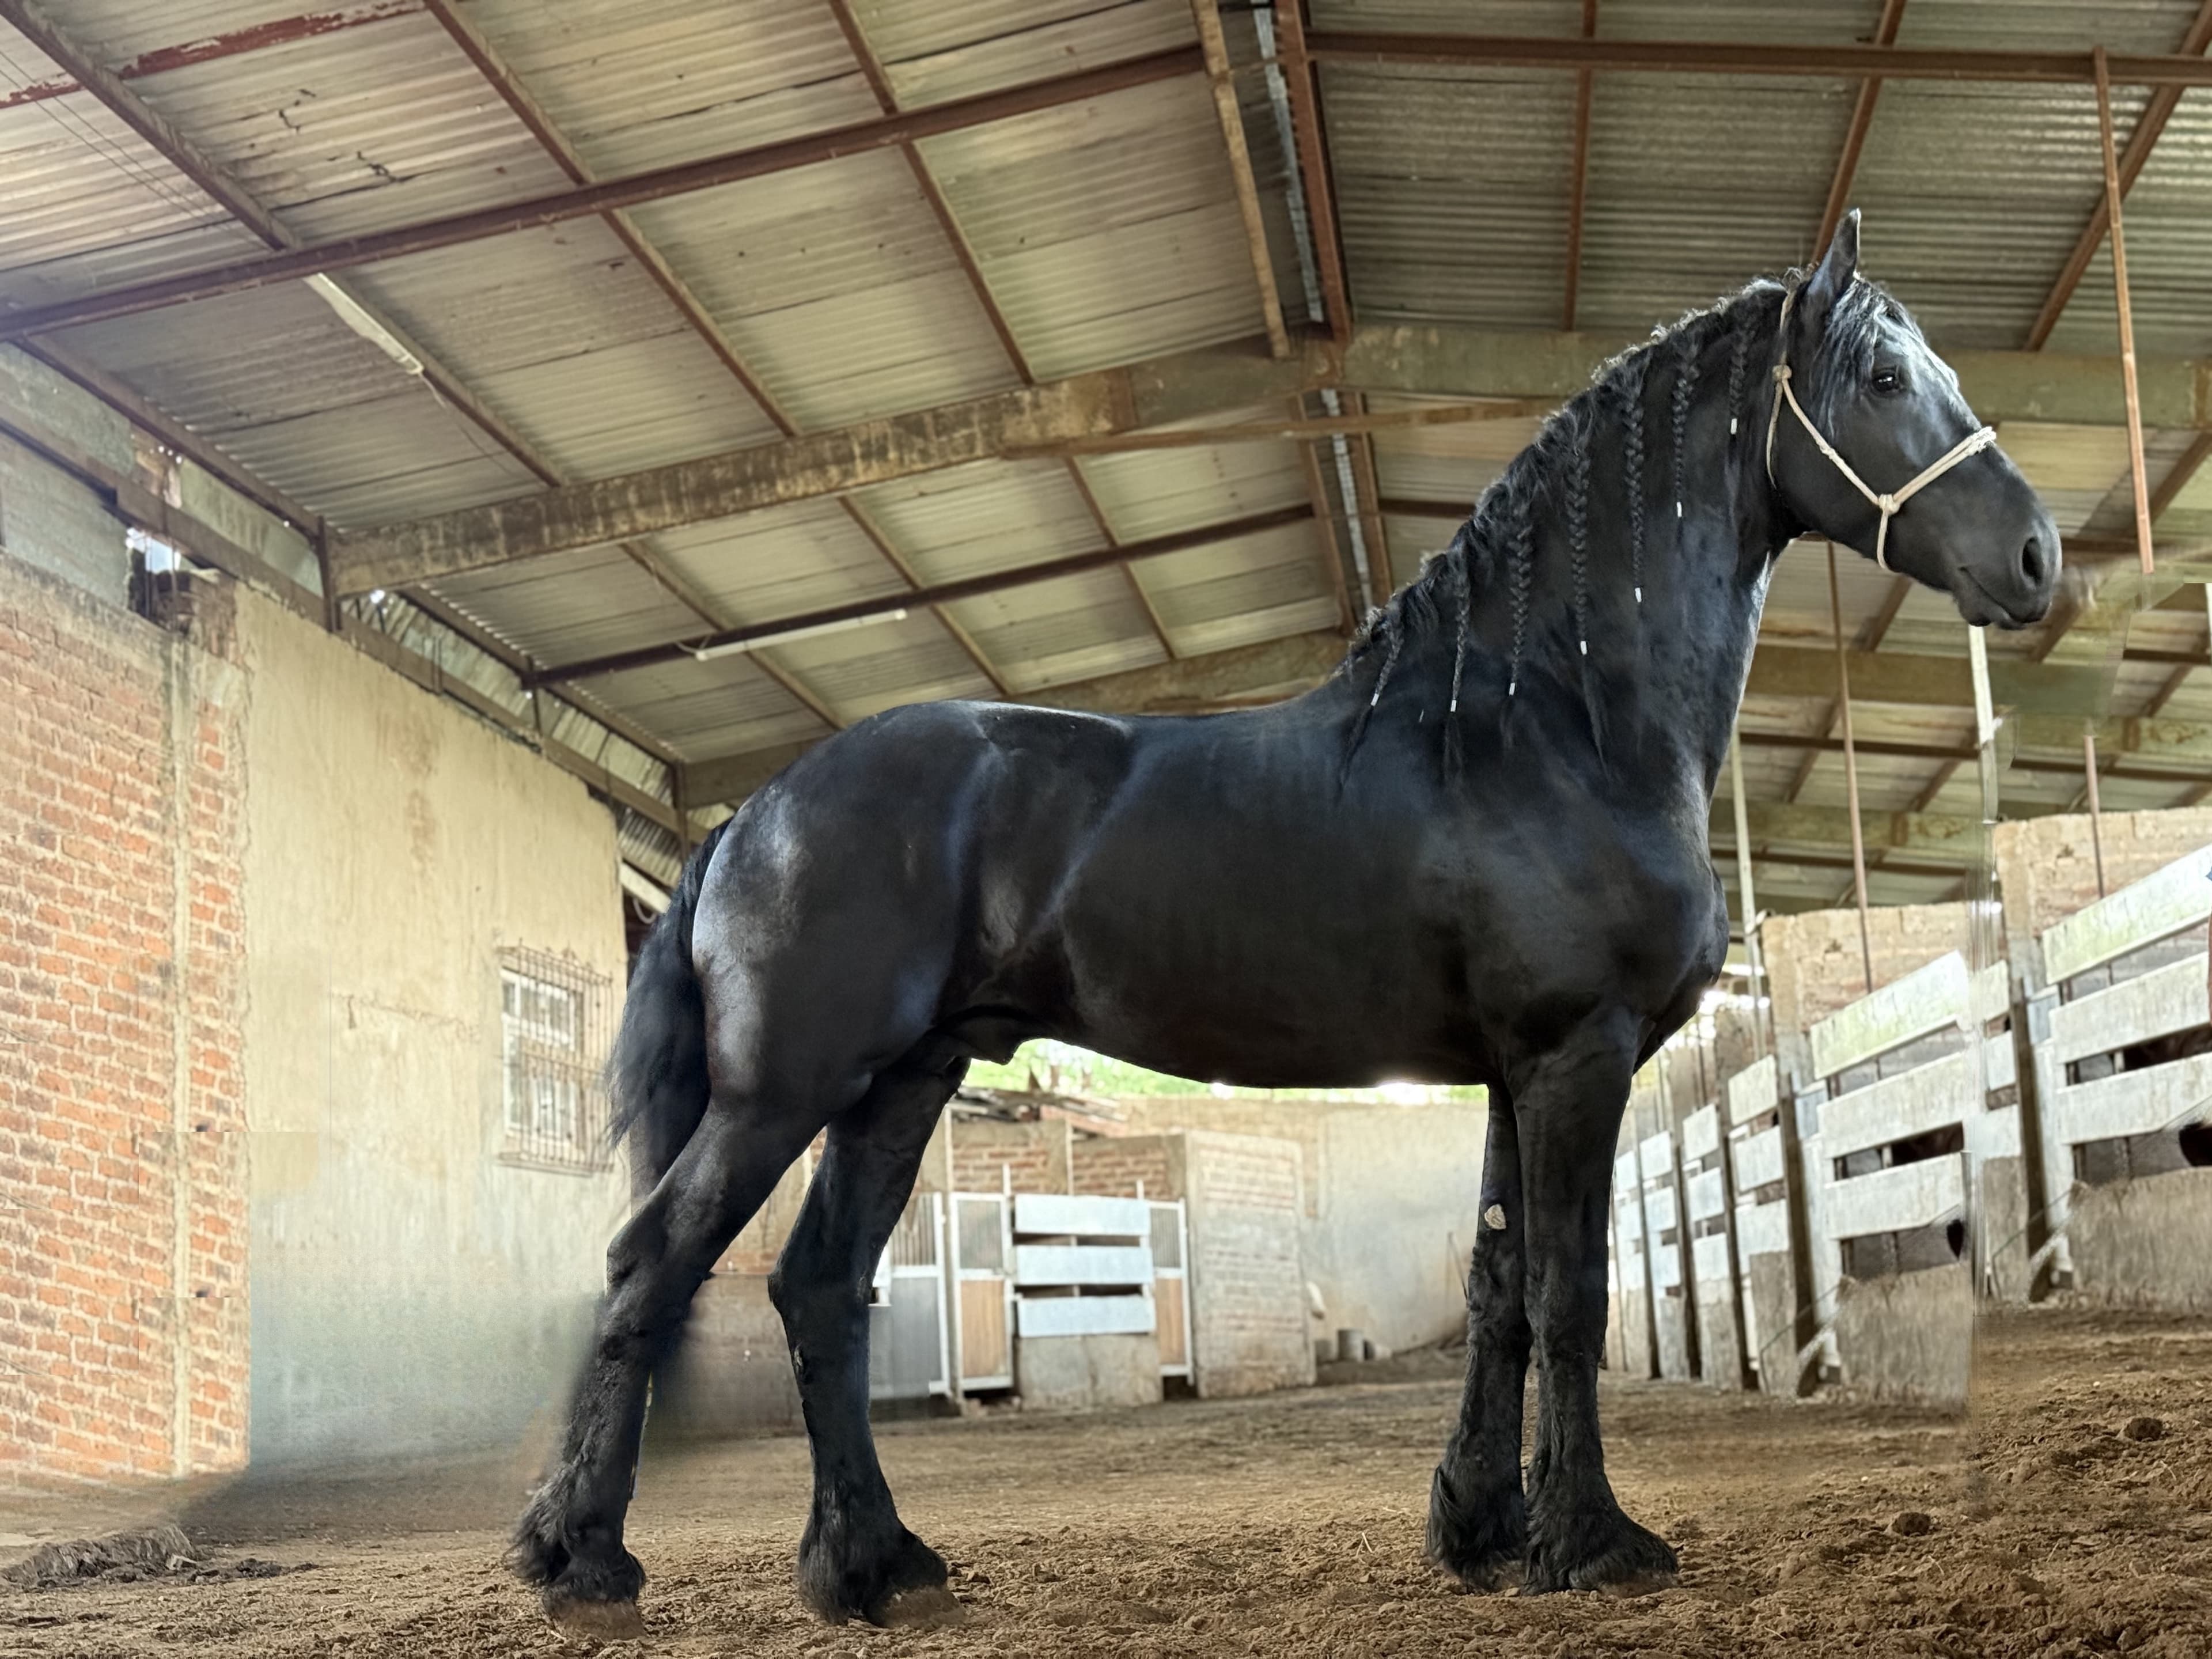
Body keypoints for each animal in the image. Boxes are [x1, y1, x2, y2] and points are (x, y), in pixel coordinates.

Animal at [510, 211, 2057, 1629]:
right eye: (1879, 377)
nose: (2040, 556)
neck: (1552, 724)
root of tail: (753, 810)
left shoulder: (1515, 1069)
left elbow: (1499, 1282)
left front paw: (1482, 1528)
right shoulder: (1579, 1050)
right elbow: (1570, 1288)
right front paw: (1592, 1542)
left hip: (902, 1081)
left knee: (821, 1290)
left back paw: (873, 1566)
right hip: (785, 1091)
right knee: (654, 1264)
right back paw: (584, 1560)